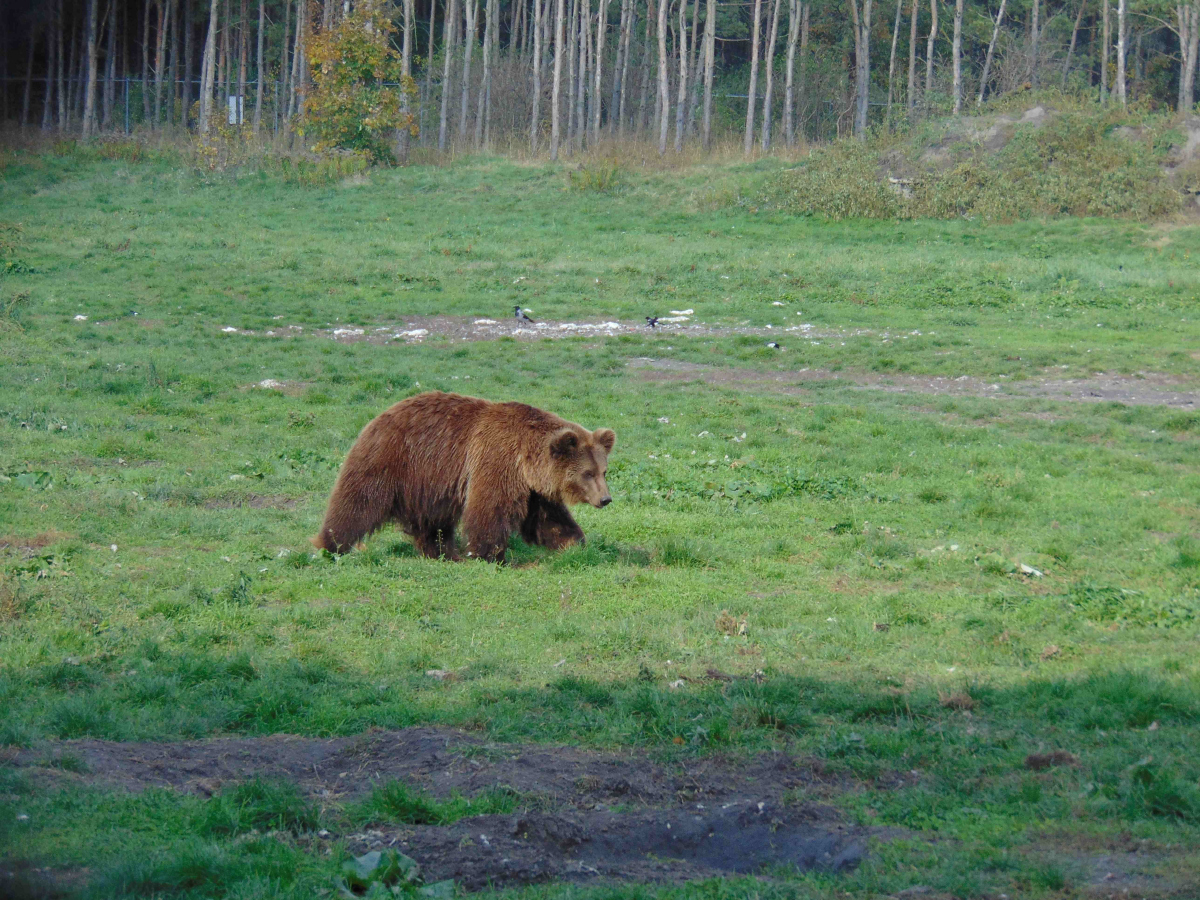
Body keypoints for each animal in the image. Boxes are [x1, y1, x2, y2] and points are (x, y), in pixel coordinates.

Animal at [314, 393, 614, 564]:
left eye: (603, 471)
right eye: (587, 473)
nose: (605, 498)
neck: (527, 459)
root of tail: (380, 416)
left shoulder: (533, 490)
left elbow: (548, 519)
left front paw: (575, 543)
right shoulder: (496, 459)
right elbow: (490, 509)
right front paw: (489, 555)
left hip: (429, 483)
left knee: (433, 522)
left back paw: (443, 553)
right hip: (392, 461)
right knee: (356, 503)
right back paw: (330, 545)